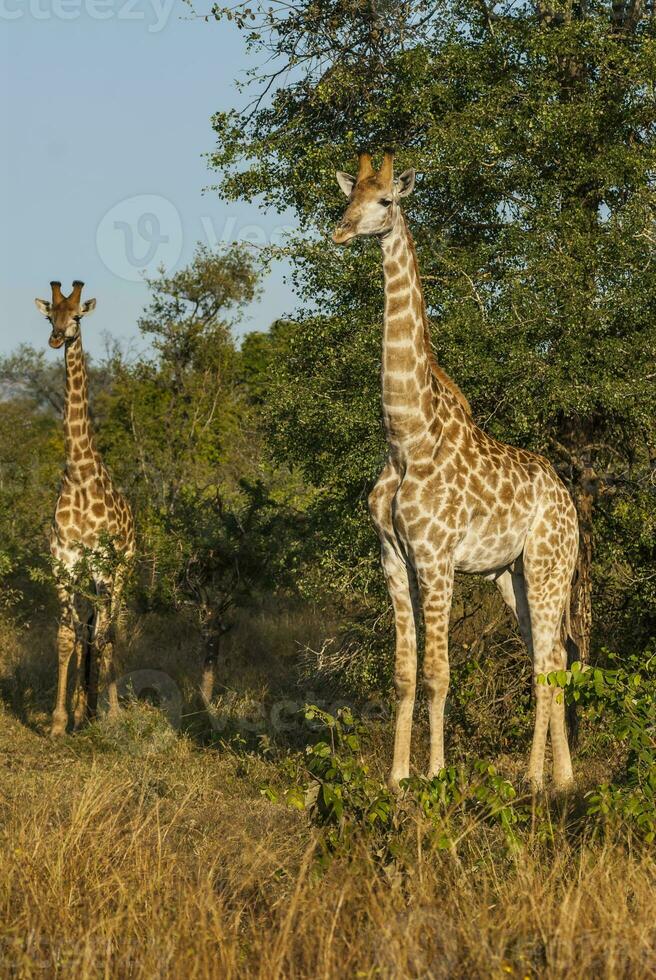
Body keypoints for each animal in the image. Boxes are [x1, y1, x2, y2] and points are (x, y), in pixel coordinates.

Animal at [334, 155, 580, 796]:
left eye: (385, 201)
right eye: (349, 196)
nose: (339, 230)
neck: (406, 437)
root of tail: (569, 501)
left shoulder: (436, 557)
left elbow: (438, 672)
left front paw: (437, 774)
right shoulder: (392, 557)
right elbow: (403, 672)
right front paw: (398, 778)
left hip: (548, 566)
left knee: (546, 663)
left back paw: (532, 778)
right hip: (510, 575)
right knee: (553, 658)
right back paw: (563, 778)